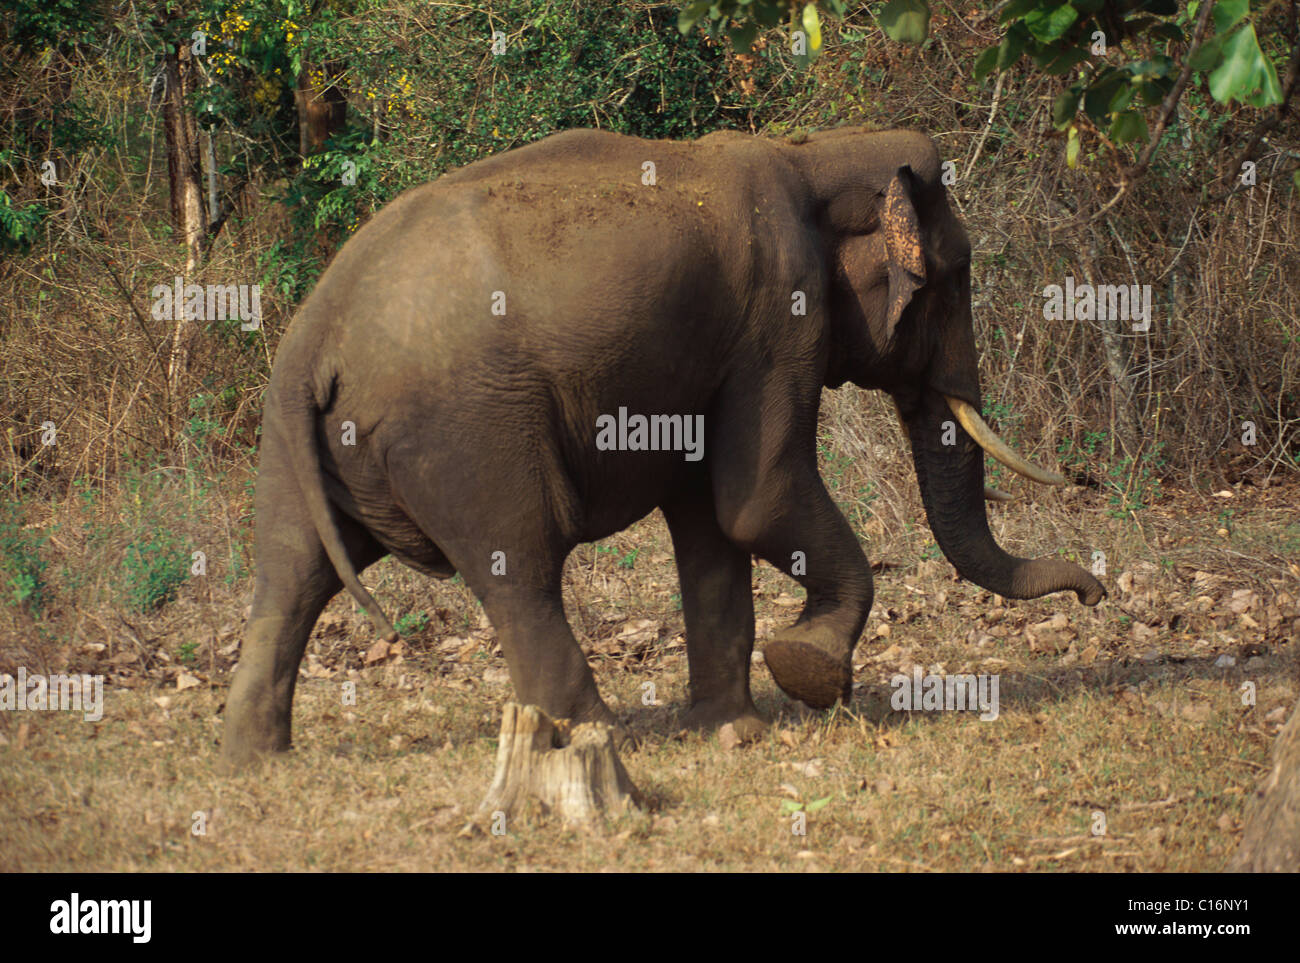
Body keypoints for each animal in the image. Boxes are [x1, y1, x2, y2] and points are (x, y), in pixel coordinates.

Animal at [220, 124, 1107, 764]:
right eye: (954, 278)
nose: (1096, 594)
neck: (813, 150)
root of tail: (316, 338)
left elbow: (711, 524)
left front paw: (734, 729)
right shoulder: (780, 318)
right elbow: (759, 498)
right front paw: (810, 670)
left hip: (299, 441)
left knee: (289, 572)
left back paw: (255, 758)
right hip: (467, 429)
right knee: (520, 568)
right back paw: (596, 733)